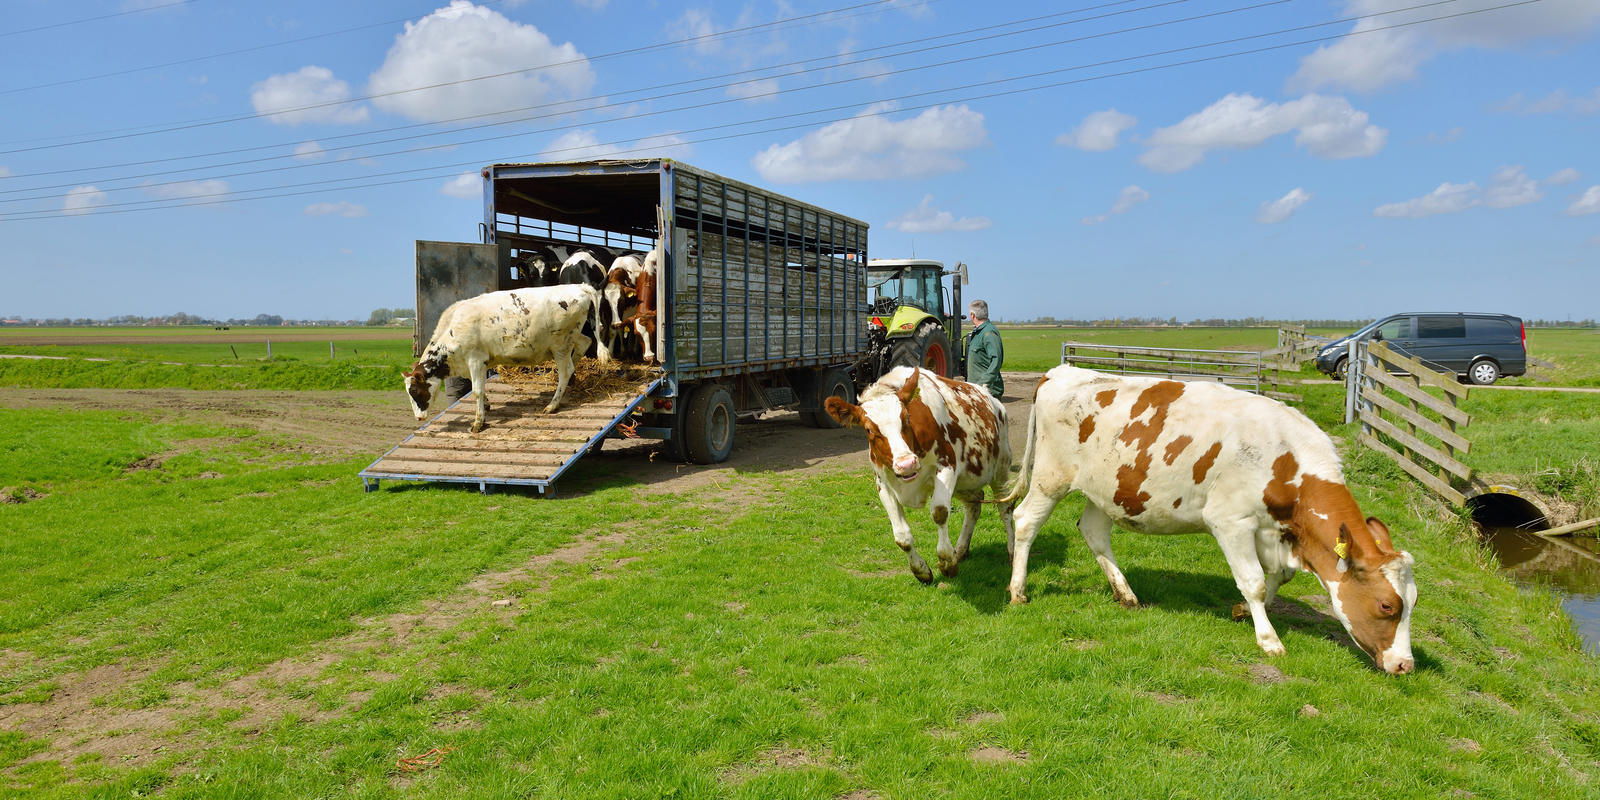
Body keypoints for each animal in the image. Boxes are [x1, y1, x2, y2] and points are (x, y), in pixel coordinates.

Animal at [406, 283, 611, 432]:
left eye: (414, 391)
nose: (418, 417)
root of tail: (578, 286)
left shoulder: (475, 360)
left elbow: (476, 390)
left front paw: (478, 422)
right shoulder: (470, 364)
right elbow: (478, 388)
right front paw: (486, 405)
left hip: (561, 344)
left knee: (565, 370)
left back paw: (553, 404)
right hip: (571, 339)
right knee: (583, 344)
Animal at [825, 366, 1011, 582]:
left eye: (906, 418)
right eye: (869, 430)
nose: (906, 464)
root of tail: (993, 400)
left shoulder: (946, 467)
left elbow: (939, 513)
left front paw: (947, 561)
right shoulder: (883, 485)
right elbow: (902, 536)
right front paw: (920, 570)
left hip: (1000, 470)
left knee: (1005, 509)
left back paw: (1012, 553)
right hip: (964, 482)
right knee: (974, 505)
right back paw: (961, 549)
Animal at [1004, 368, 1420, 675]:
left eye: (1413, 602)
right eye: (1387, 606)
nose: (1405, 665)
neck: (1286, 458)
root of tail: (1061, 372)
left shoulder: (1275, 533)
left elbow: (1278, 578)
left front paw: (1244, 612)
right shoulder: (1230, 521)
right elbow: (1253, 582)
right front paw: (1269, 639)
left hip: (1106, 491)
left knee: (1093, 533)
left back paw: (1126, 594)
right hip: (1051, 476)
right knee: (1025, 521)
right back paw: (1018, 591)